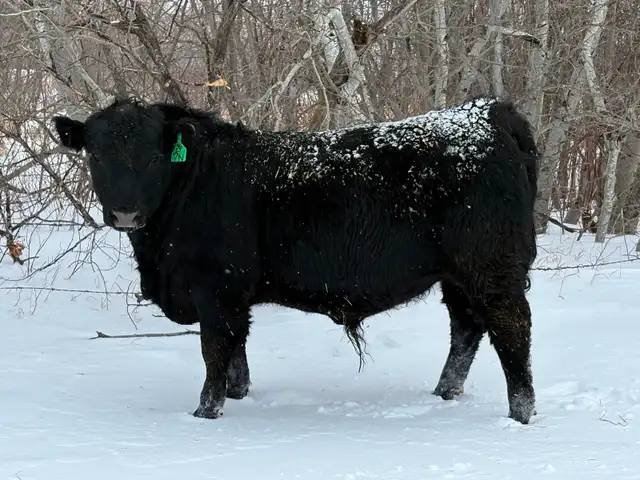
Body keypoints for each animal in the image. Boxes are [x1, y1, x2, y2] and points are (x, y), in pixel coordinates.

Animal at [53, 96, 539, 424]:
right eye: (95, 154)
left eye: (155, 155)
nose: (125, 213)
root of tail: (489, 110)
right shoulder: (234, 295)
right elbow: (237, 352)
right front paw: (238, 397)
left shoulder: (217, 290)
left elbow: (215, 350)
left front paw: (205, 413)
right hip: (457, 276)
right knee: (466, 329)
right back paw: (442, 396)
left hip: (492, 266)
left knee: (511, 330)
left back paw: (520, 414)